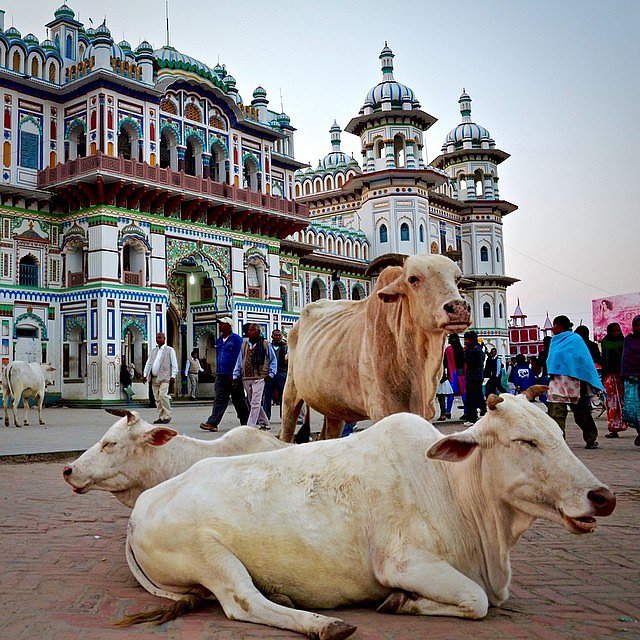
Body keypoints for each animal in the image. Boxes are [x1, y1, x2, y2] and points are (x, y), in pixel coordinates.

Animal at [120, 390, 616, 640]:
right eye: (524, 442)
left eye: (556, 431)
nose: (602, 497)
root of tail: (141, 509)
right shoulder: (404, 563)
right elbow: (475, 600)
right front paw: (401, 602)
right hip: (211, 557)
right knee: (243, 603)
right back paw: (325, 624)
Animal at [280, 254, 470, 440]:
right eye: (412, 279)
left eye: (457, 279)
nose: (458, 307)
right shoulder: (382, 409)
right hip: (290, 392)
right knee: (286, 431)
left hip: (332, 406)